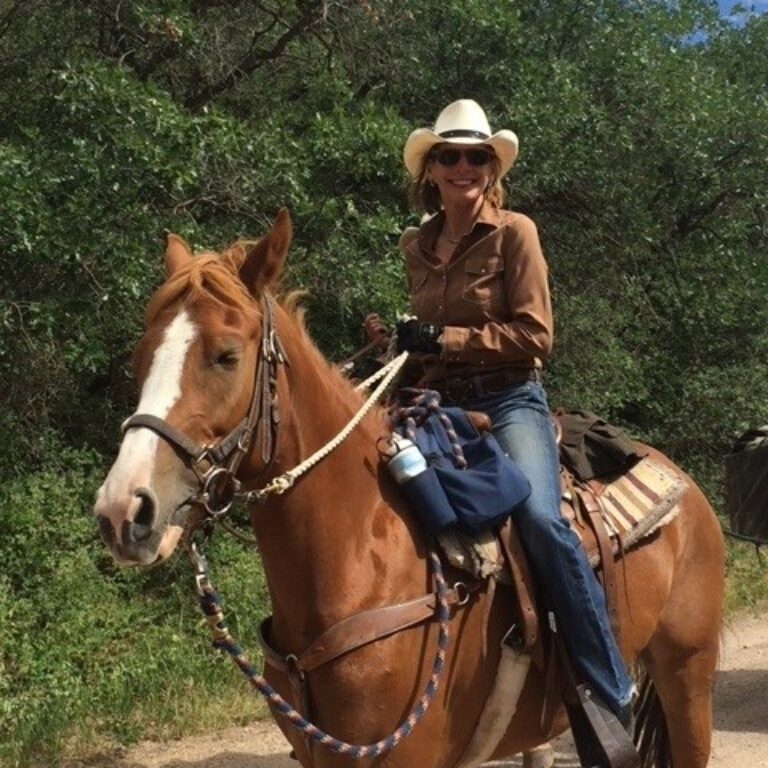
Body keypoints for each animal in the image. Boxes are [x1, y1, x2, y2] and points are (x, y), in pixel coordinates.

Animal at [96, 210, 728, 768]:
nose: (123, 511)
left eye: (226, 356)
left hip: (686, 676)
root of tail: (684, 485)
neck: (362, 553)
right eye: (141, 357)